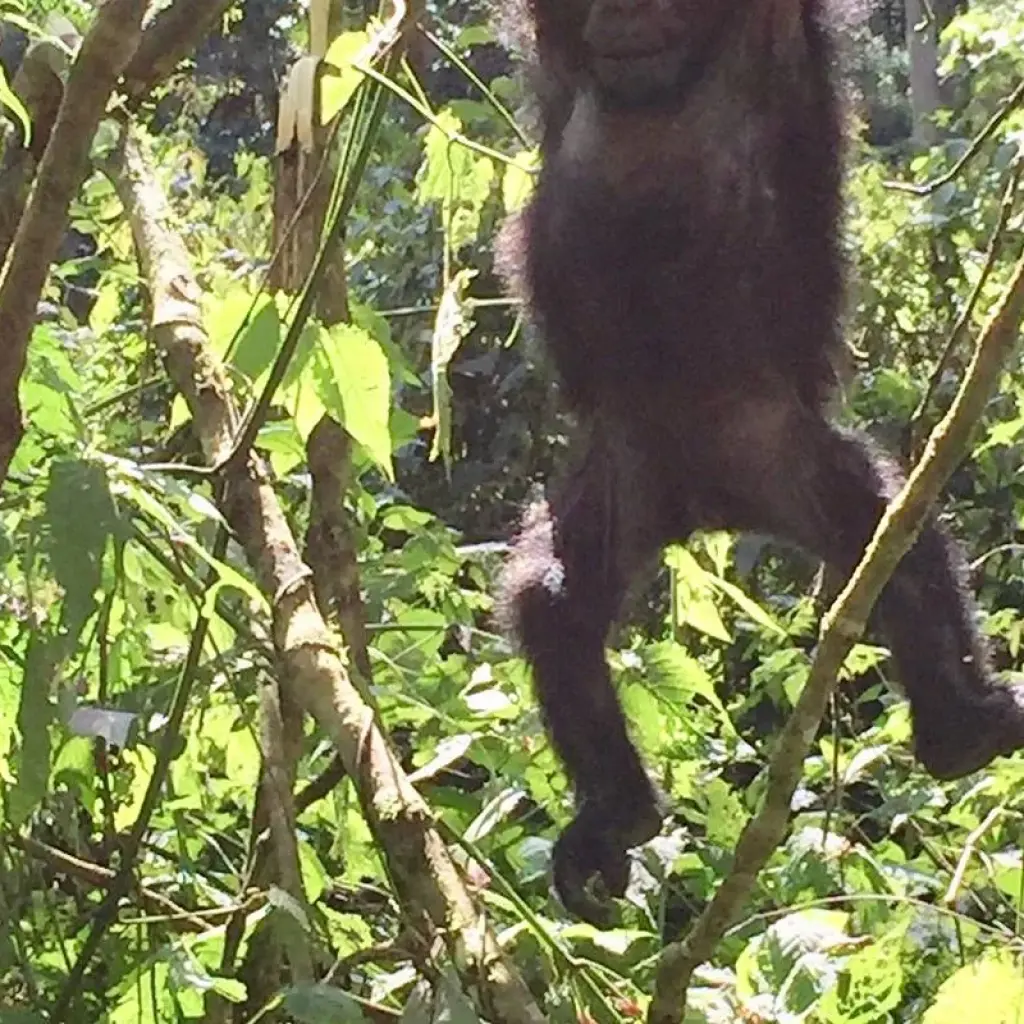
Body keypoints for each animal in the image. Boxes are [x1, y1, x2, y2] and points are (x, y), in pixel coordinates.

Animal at [495, 0, 1024, 926]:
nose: (623, 18)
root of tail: (709, 505)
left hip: (781, 451)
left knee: (891, 538)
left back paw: (960, 733)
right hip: (624, 480)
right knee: (552, 606)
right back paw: (616, 815)